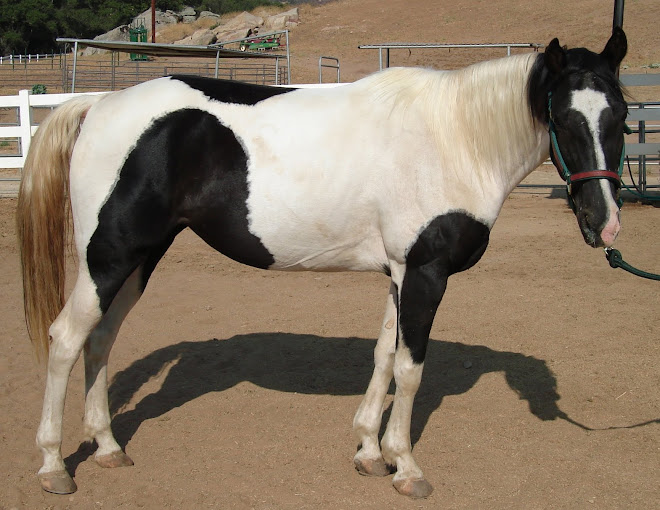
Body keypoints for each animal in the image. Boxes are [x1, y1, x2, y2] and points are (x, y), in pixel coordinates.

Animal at [17, 28, 628, 498]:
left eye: (621, 115)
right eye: (564, 119)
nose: (604, 224)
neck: (455, 139)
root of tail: (98, 105)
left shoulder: (399, 275)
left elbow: (384, 357)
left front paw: (369, 453)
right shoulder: (425, 274)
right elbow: (410, 370)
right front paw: (406, 467)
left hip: (140, 257)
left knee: (100, 339)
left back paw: (108, 447)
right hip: (109, 256)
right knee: (67, 338)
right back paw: (52, 466)